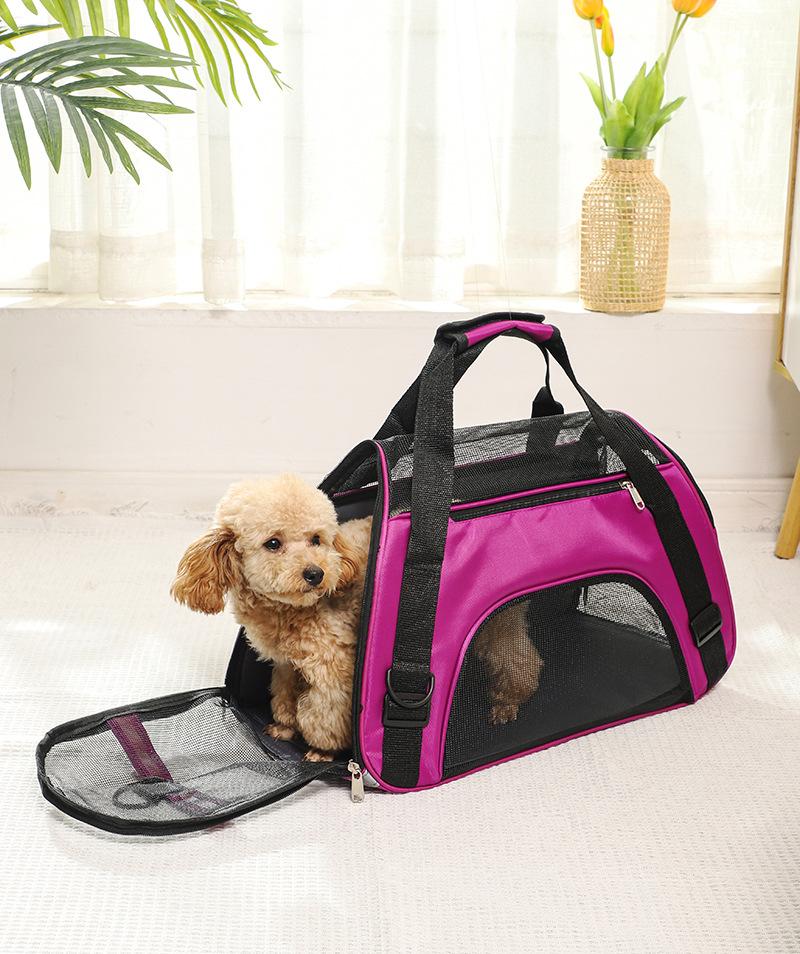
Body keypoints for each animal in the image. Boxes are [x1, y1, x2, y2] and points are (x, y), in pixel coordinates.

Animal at [171, 474, 372, 761]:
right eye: (273, 543)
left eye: (316, 539)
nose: (316, 573)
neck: (286, 612)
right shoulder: (285, 664)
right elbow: (284, 696)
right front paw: (285, 727)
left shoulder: (333, 668)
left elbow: (324, 715)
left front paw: (323, 750)